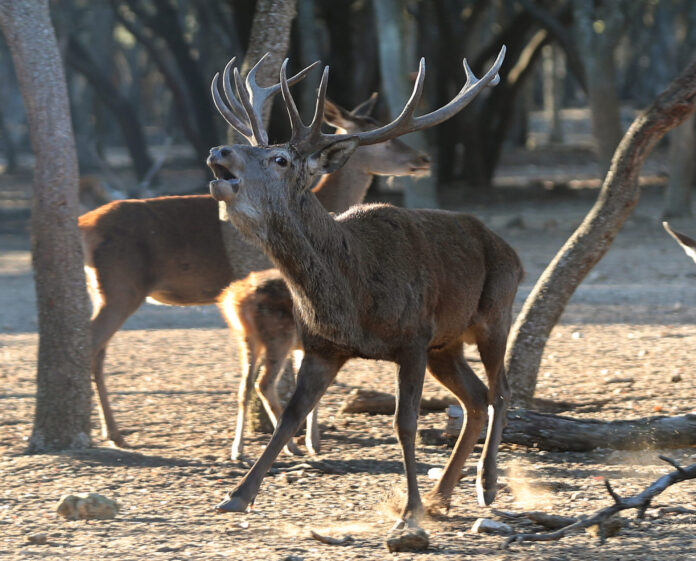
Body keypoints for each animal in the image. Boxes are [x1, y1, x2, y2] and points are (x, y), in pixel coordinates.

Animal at [80, 82, 430, 446]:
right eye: (383, 139)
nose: (424, 160)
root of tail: (84, 224)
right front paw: (308, 438)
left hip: (100, 289)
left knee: (98, 350)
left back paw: (106, 429)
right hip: (121, 286)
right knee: (91, 343)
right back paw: (108, 432)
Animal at [204, 48, 520, 528]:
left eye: (280, 160)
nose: (218, 149)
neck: (350, 297)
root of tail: (513, 252)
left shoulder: (413, 338)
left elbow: (404, 423)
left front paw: (408, 510)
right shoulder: (323, 347)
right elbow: (291, 414)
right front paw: (237, 495)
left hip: (494, 315)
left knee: (501, 390)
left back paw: (485, 485)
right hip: (445, 345)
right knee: (476, 399)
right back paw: (442, 495)